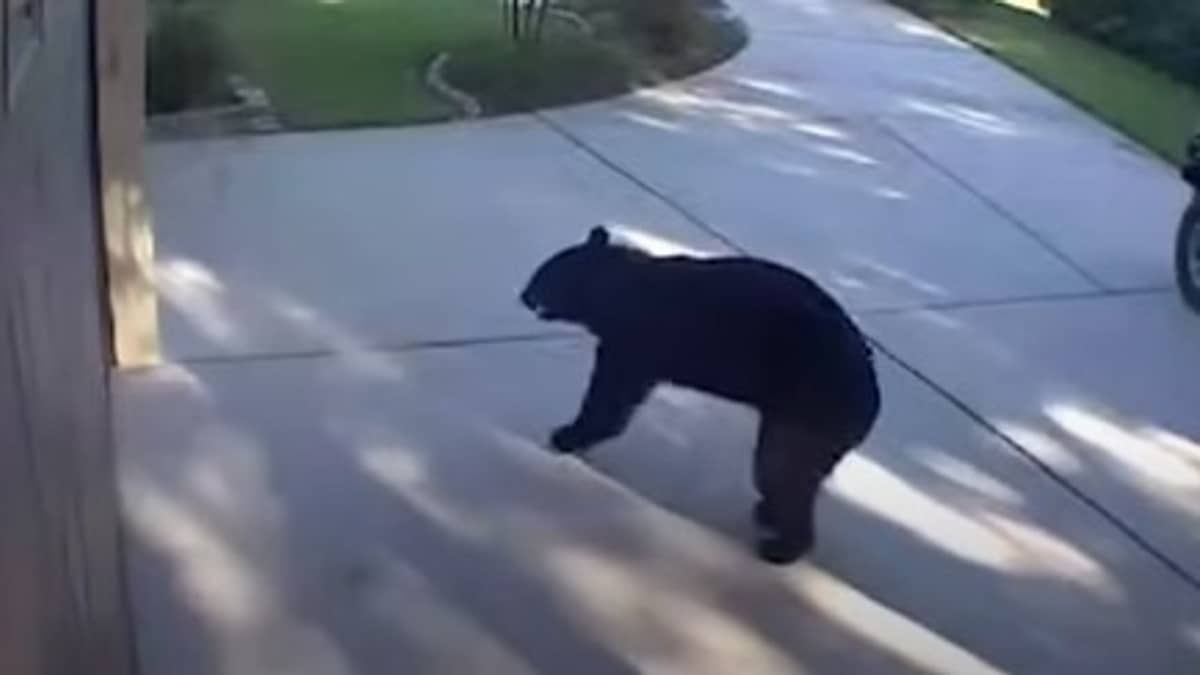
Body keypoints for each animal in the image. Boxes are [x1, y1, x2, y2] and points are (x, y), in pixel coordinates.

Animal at [520, 226, 881, 564]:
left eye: (543, 275)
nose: (523, 295)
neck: (620, 287)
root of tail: (872, 402)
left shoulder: (636, 340)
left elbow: (611, 394)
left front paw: (568, 434)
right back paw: (770, 513)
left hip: (810, 407)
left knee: (782, 467)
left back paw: (781, 546)